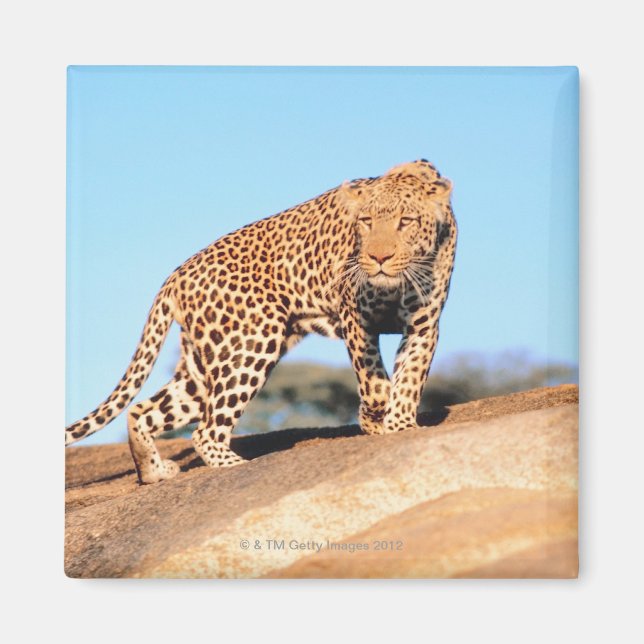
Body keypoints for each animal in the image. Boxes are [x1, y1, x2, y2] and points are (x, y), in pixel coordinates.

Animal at [66, 160, 457, 484]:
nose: (378, 258)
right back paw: (235, 465)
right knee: (205, 430)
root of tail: (176, 275)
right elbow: (374, 380)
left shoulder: (423, 325)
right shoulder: (356, 318)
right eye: (366, 222)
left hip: (202, 366)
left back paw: (154, 472)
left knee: (141, 411)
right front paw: (374, 417)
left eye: (405, 222)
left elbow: (411, 378)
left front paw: (401, 424)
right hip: (252, 342)